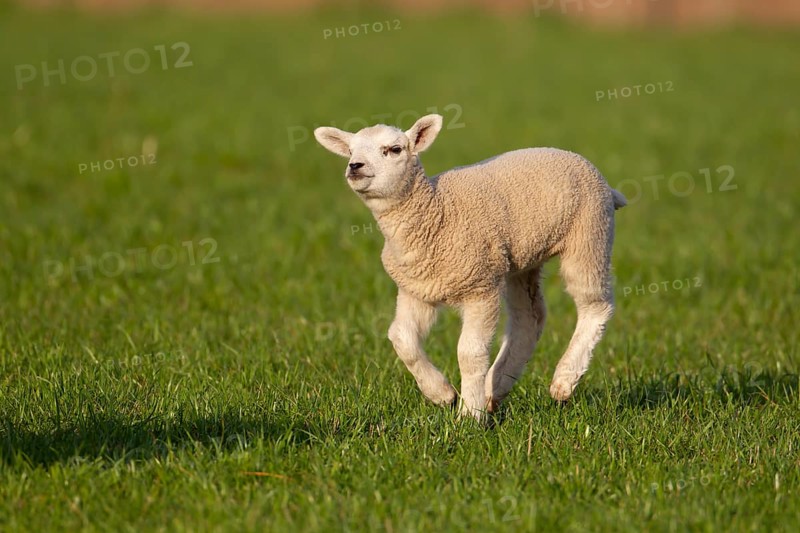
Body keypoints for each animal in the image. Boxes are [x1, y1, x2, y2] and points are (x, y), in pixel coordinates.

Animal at [314, 114, 626, 419]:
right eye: (350, 151)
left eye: (394, 149)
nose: (355, 166)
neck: (435, 213)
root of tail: (609, 188)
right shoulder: (417, 290)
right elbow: (402, 339)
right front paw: (442, 395)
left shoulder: (480, 287)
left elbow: (469, 352)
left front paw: (469, 414)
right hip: (521, 261)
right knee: (530, 317)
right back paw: (496, 388)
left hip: (590, 234)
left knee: (595, 304)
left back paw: (563, 381)